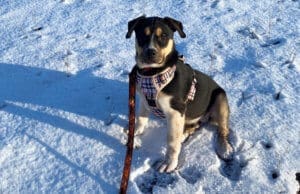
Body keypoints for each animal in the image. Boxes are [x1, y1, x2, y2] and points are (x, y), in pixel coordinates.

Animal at [125, 15, 233, 173]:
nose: (151, 52)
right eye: (142, 35)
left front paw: (169, 163)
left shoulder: (175, 111)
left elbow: (171, 141)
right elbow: (141, 117)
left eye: (164, 36)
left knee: (223, 129)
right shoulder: (144, 99)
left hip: (220, 98)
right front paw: (136, 131)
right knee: (195, 125)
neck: (152, 73)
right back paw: (184, 133)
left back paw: (224, 148)